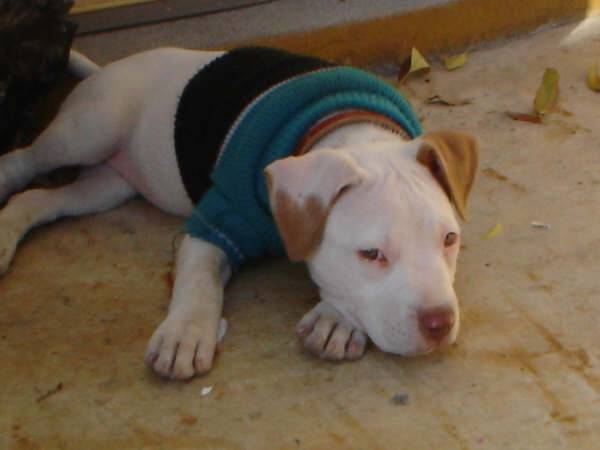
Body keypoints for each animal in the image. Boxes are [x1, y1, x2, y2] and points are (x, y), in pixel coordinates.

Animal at [0, 47, 478, 380]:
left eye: (450, 240)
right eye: (372, 254)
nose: (440, 323)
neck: (346, 125)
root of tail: (109, 67)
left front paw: (335, 321)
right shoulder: (215, 223)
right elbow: (199, 279)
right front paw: (185, 332)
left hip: (108, 186)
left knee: (42, 200)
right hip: (91, 129)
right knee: (27, 160)